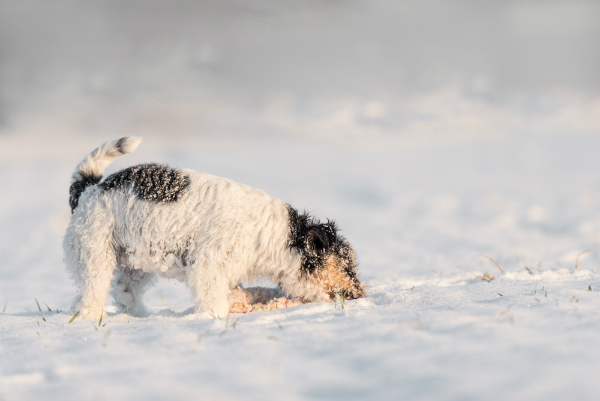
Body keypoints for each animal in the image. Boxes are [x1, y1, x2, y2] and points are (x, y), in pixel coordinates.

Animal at [64, 138, 366, 318]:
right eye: (347, 267)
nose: (362, 294)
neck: (278, 237)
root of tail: (88, 189)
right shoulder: (209, 267)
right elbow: (213, 299)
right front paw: (216, 318)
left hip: (134, 263)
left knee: (124, 292)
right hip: (95, 255)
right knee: (91, 294)